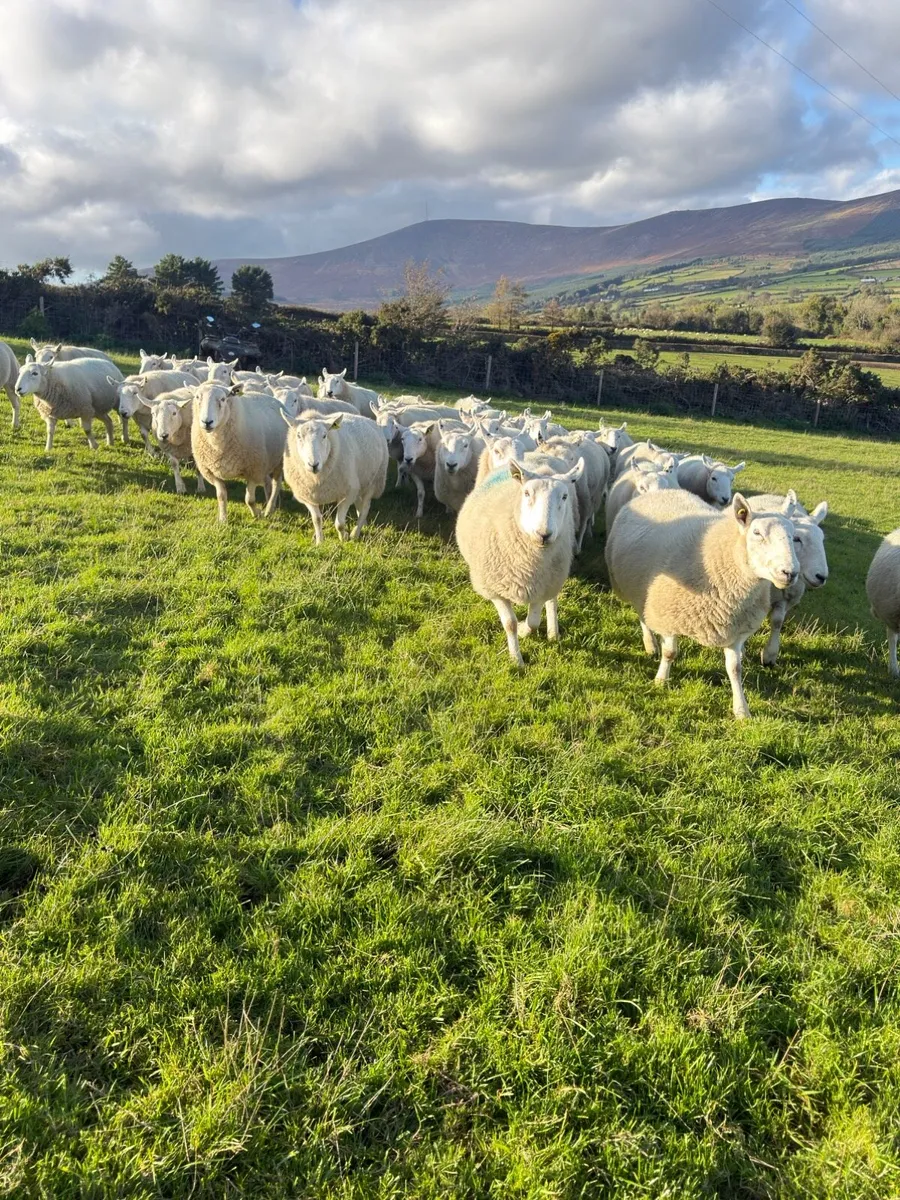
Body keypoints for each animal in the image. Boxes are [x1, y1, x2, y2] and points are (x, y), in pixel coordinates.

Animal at [191, 382, 286, 522]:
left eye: (223, 399)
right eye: (197, 397)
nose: (207, 422)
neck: (217, 445)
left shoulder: (253, 471)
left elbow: (249, 499)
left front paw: (257, 514)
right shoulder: (212, 472)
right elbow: (221, 496)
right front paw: (223, 519)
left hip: (279, 461)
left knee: (276, 485)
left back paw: (269, 509)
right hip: (265, 462)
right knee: (268, 483)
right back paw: (268, 502)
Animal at [279, 411, 388, 542]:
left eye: (324, 436)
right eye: (299, 436)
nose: (313, 465)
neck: (316, 478)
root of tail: (368, 419)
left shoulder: (347, 494)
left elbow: (339, 523)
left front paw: (344, 538)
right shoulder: (308, 496)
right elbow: (317, 520)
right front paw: (319, 541)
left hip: (373, 482)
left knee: (365, 508)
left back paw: (355, 533)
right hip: (358, 483)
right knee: (359, 505)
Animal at [456, 457, 585, 666]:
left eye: (564, 496)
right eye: (526, 493)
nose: (544, 534)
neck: (529, 564)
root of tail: (534, 462)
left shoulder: (541, 588)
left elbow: (534, 622)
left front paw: (525, 631)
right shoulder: (495, 589)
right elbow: (510, 624)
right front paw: (516, 660)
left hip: (554, 576)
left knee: (552, 600)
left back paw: (553, 633)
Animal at [605, 489, 800, 719]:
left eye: (794, 536)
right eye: (757, 533)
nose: (790, 573)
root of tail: (662, 491)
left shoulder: (735, 629)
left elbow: (735, 669)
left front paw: (741, 710)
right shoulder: (667, 614)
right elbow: (670, 653)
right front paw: (661, 680)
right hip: (634, 588)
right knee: (643, 617)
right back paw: (650, 644)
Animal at [745, 492, 829, 666]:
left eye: (822, 539)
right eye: (796, 539)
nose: (821, 576)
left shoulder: (785, 598)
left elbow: (777, 621)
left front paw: (769, 655)